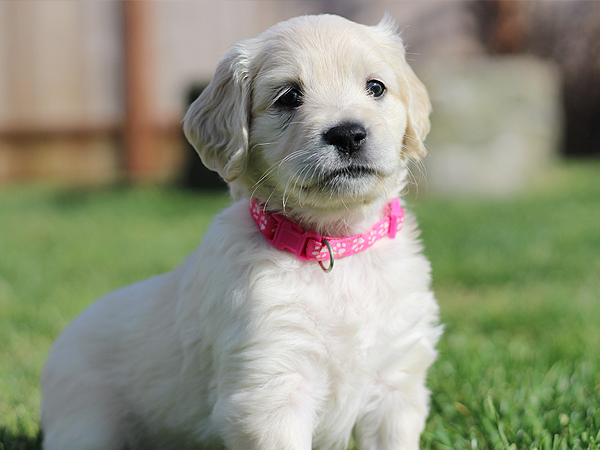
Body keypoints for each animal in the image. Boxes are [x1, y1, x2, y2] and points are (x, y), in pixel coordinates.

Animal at [41, 14, 440, 450]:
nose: (348, 134)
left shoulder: (396, 385)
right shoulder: (271, 392)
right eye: (289, 96)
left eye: (376, 87)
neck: (333, 244)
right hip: (86, 422)